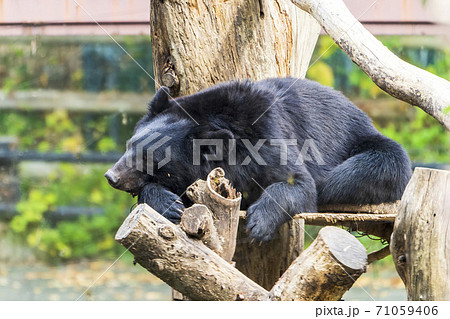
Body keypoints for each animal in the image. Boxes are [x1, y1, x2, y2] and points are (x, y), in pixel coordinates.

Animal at [106, 77, 412, 242]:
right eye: (130, 146)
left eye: (150, 159)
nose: (112, 177)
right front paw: (170, 206)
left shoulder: (271, 135)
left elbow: (299, 182)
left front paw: (258, 224)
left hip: (371, 151)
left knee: (351, 175)